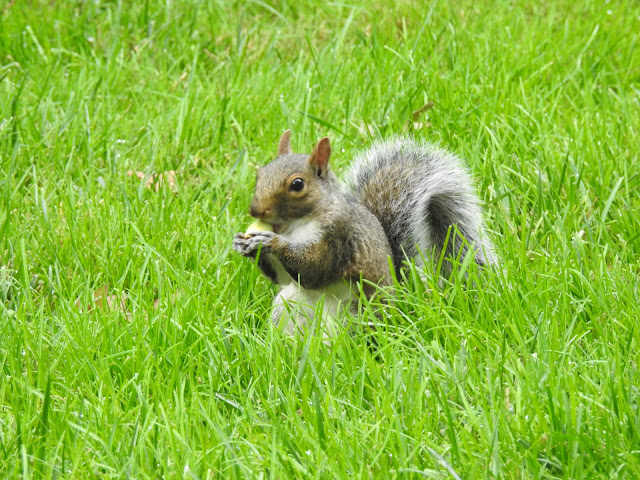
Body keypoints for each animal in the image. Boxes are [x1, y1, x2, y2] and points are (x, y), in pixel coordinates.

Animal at [232, 129, 498, 336]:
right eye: (260, 174)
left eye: (297, 184)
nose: (256, 210)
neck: (295, 226)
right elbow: (283, 278)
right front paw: (241, 244)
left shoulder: (339, 237)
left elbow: (314, 268)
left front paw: (272, 243)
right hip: (286, 307)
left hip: (355, 314)